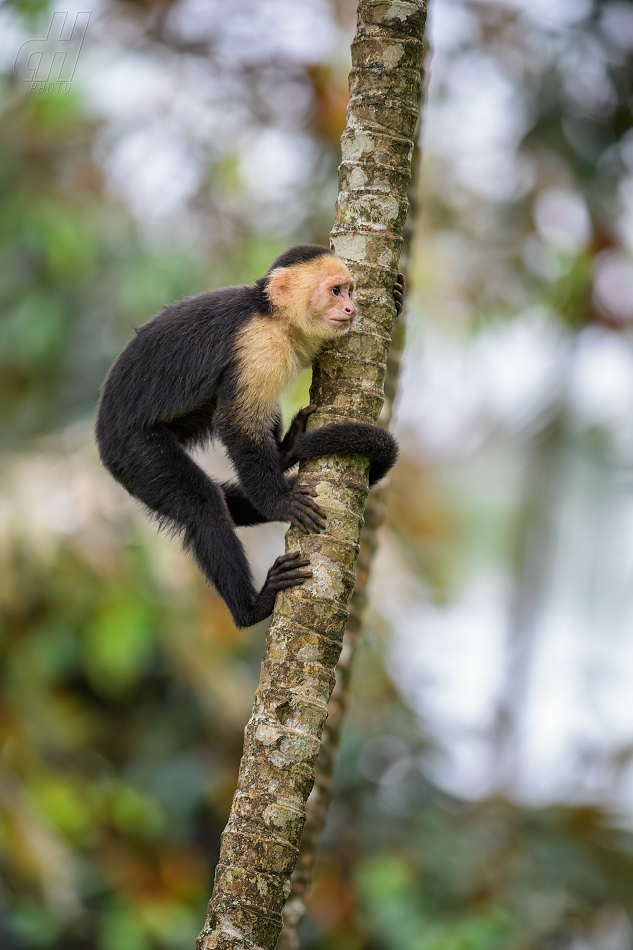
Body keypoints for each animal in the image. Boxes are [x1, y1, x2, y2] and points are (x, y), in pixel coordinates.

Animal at [95, 249, 400, 628]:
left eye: (350, 290)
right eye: (334, 291)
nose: (350, 309)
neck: (272, 316)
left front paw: (398, 297)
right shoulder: (259, 344)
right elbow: (236, 424)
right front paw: (279, 502)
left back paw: (286, 452)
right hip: (134, 450)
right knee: (203, 503)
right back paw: (252, 607)